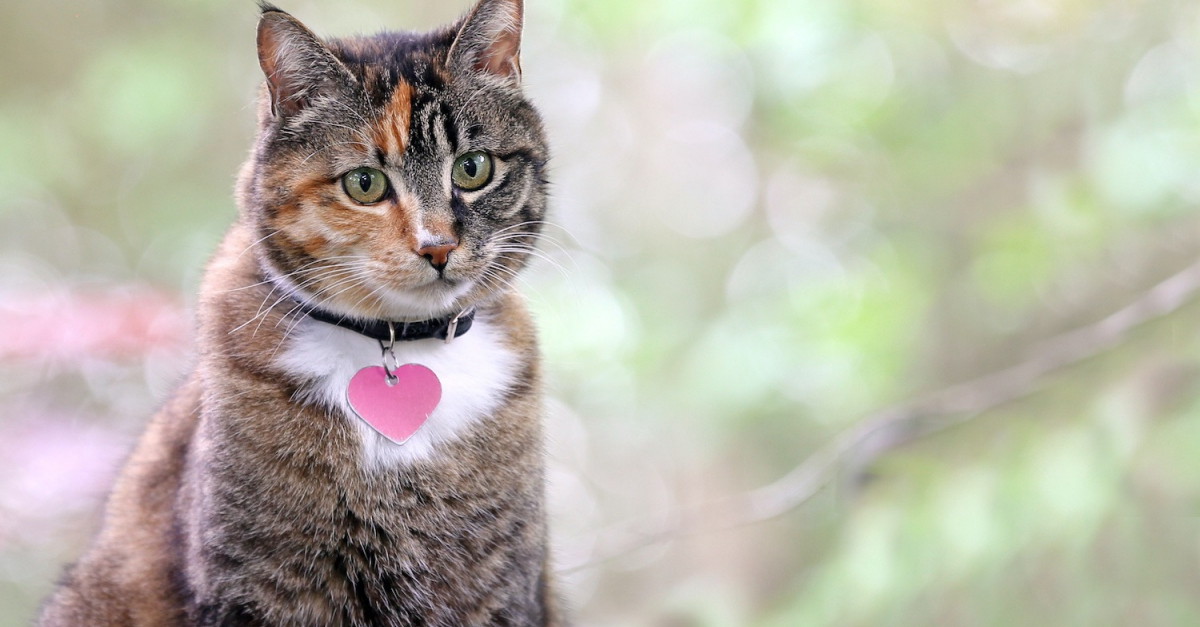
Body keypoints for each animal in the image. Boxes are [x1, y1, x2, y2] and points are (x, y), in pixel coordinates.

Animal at [36, 0, 561, 619]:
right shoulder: (251, 586)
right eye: (365, 183)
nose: (437, 247)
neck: (396, 341)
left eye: (473, 168)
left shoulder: (502, 589)